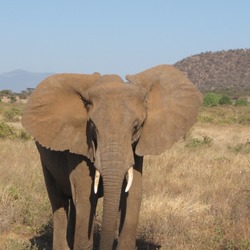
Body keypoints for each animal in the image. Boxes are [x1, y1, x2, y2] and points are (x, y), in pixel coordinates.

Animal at [21, 63, 201, 249]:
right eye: (92, 126)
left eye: (136, 126)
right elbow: (85, 196)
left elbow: (133, 194)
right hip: (45, 159)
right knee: (59, 202)